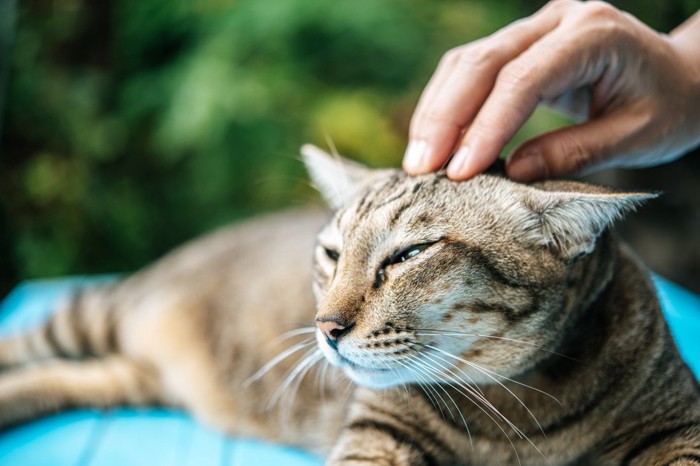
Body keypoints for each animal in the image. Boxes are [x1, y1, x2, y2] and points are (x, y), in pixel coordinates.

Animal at [0, 144, 696, 464]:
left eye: (409, 254)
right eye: (332, 254)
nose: (324, 327)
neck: (512, 414)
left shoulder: (676, 425)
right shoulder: (378, 432)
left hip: (130, 375)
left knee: (64, 378)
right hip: (98, 314)